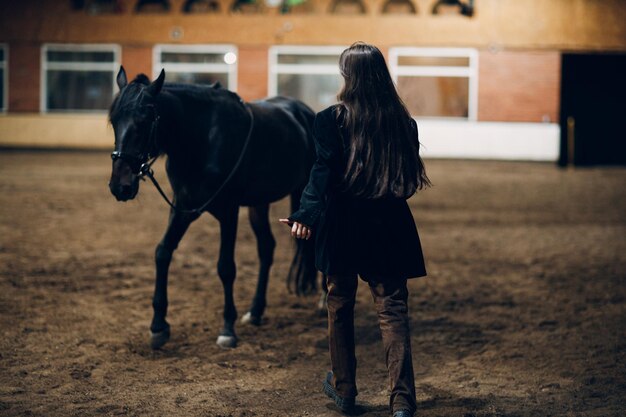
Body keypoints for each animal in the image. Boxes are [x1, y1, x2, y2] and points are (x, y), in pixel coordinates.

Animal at [106, 67, 316, 348]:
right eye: (114, 121)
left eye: (144, 121)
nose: (120, 186)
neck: (202, 139)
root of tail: (306, 112)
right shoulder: (183, 207)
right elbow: (162, 252)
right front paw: (158, 325)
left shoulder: (228, 211)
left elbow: (226, 267)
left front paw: (227, 329)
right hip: (258, 203)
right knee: (266, 248)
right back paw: (256, 311)